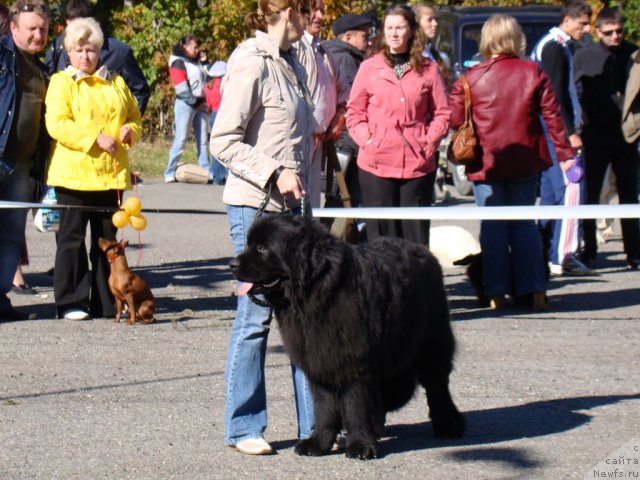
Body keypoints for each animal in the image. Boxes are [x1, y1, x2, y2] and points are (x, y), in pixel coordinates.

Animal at [230, 216, 464, 460]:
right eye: (249, 243)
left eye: (262, 248)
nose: (232, 264)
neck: (315, 292)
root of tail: (423, 250)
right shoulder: (319, 359)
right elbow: (323, 407)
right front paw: (318, 443)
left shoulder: (353, 361)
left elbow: (355, 405)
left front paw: (360, 445)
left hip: (432, 341)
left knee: (437, 385)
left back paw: (449, 425)